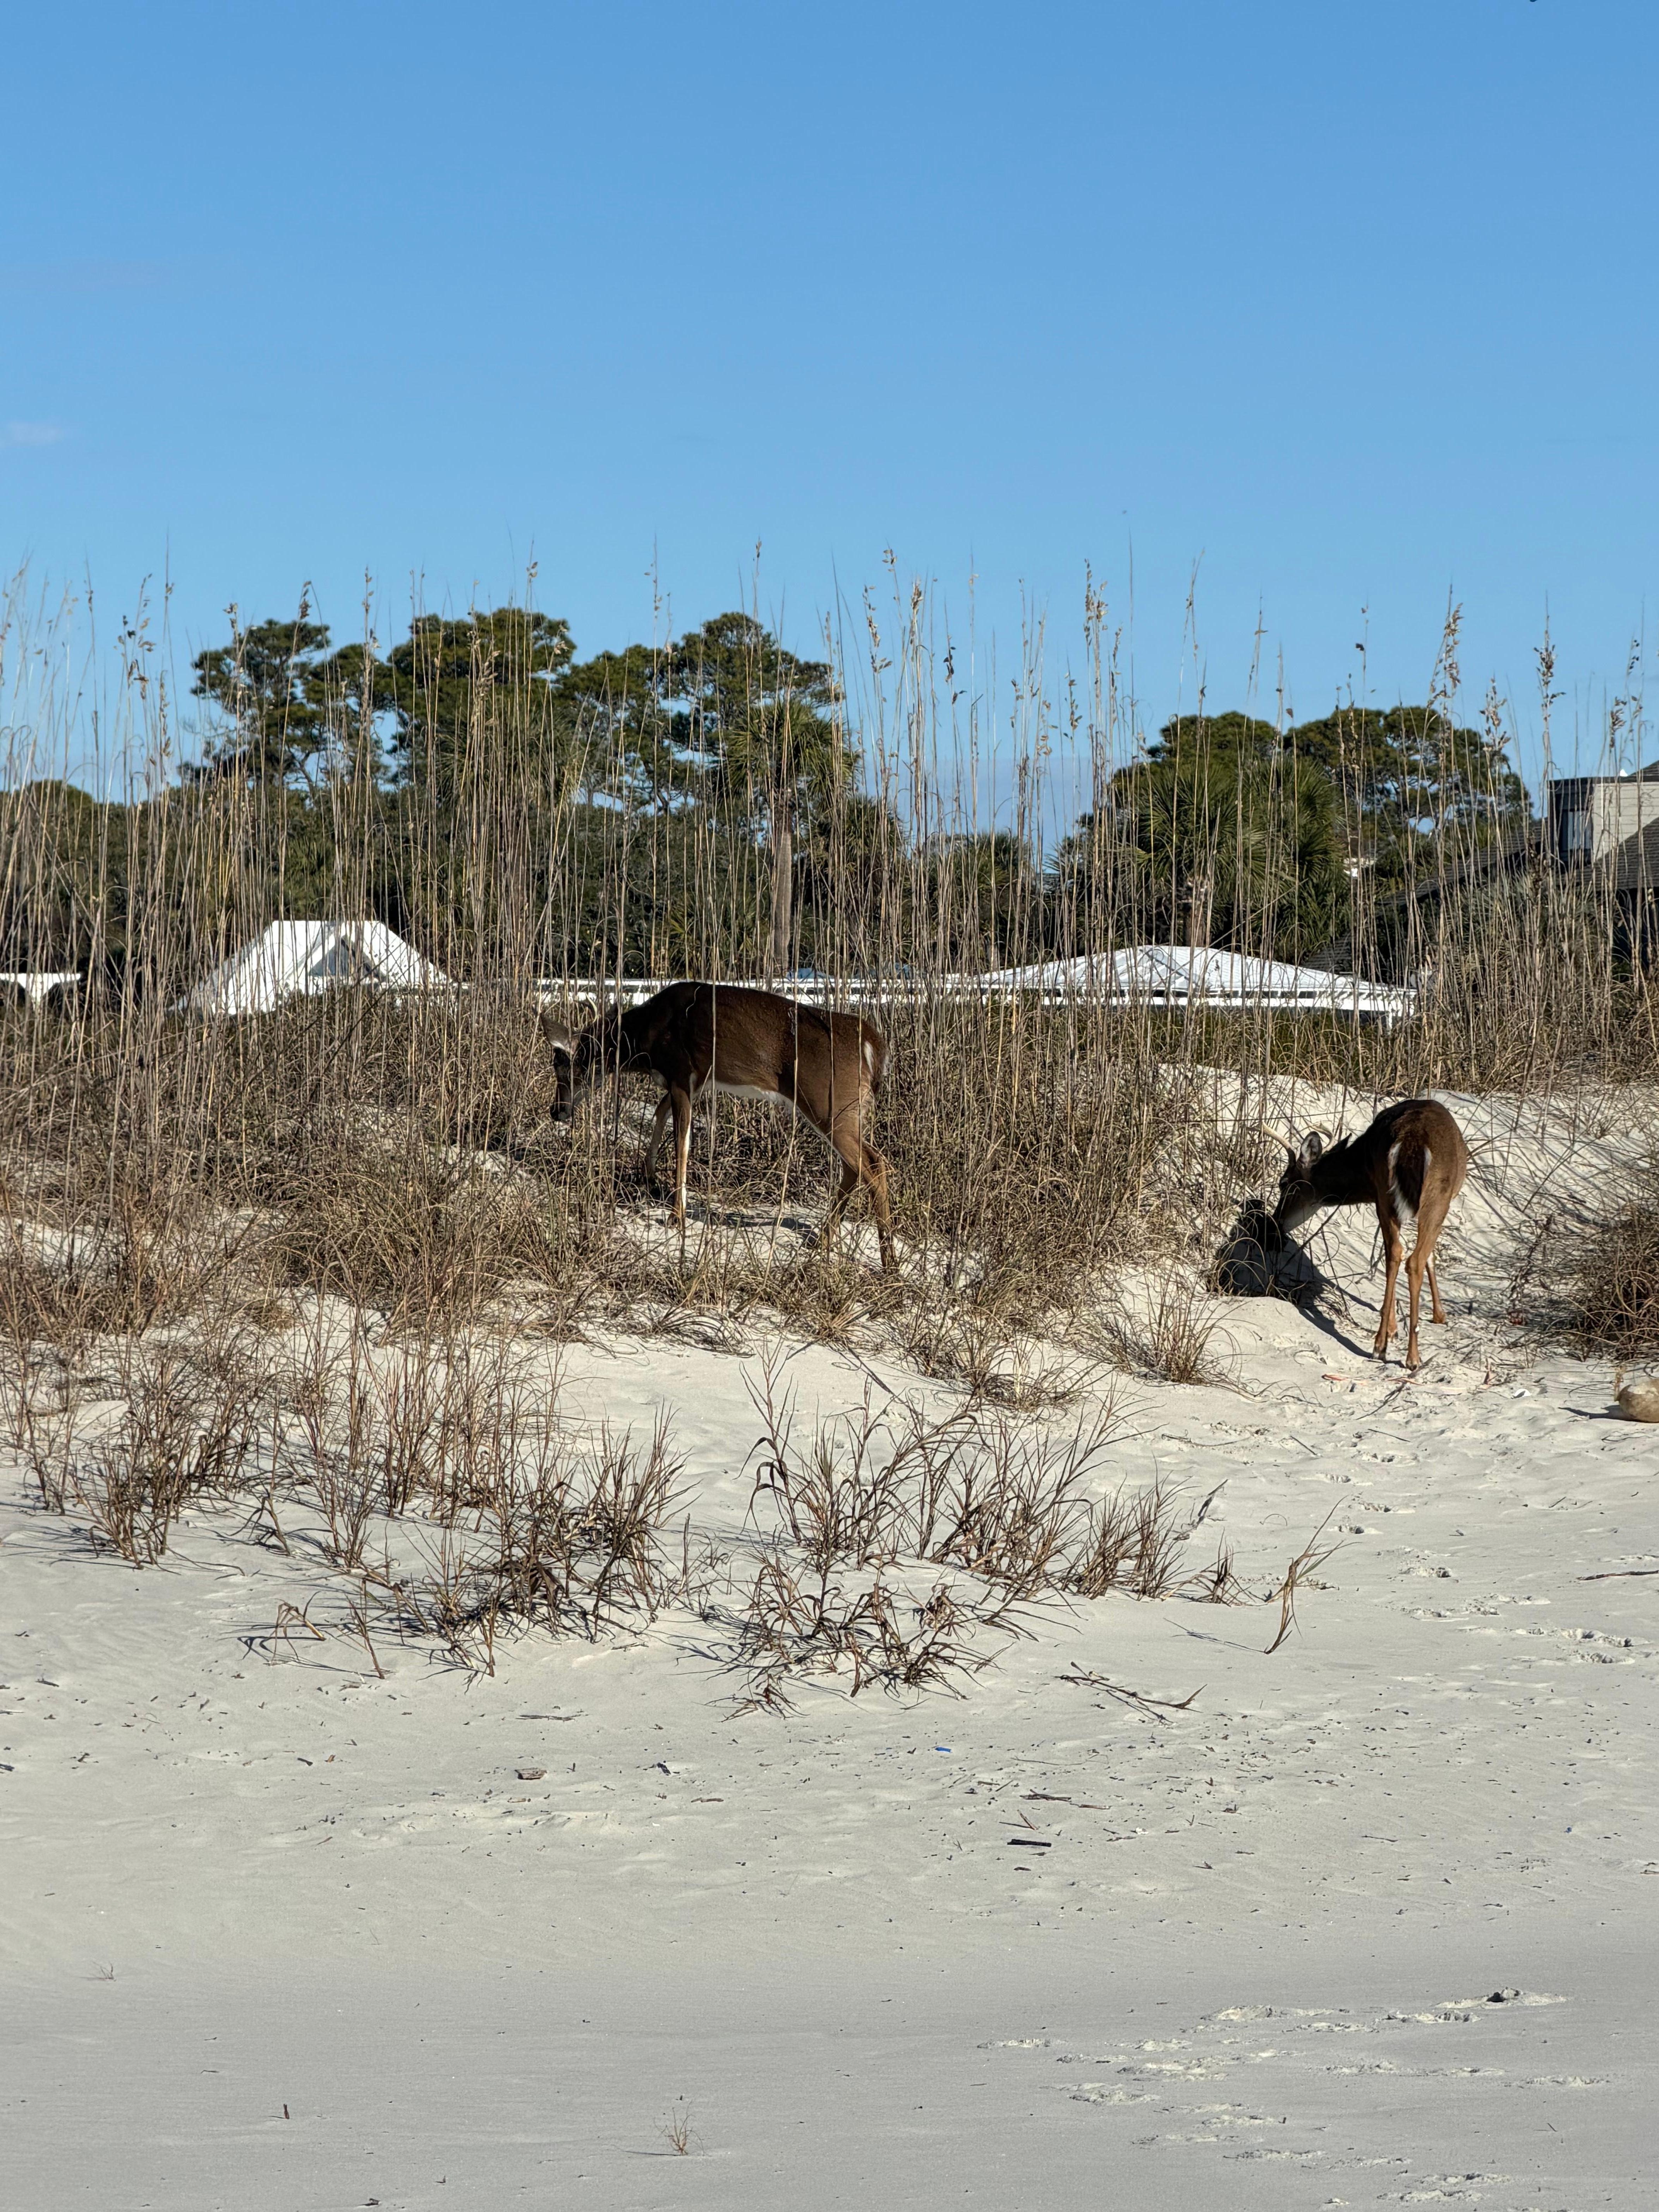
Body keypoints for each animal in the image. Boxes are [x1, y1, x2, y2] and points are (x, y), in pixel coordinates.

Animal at [542, 982, 896, 1273]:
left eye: (565, 1068)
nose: (557, 1111)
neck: (645, 1039)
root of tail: (872, 1043)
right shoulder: (692, 1082)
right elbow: (660, 1113)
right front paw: (650, 1175)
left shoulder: (682, 1072)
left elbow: (682, 1142)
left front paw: (677, 1216)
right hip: (845, 1109)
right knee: (856, 1166)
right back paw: (822, 1240)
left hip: (828, 1102)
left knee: (874, 1165)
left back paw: (888, 1262)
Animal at [1273, 1098, 1471, 1371]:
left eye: (1283, 1183)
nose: (1275, 1220)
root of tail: (1413, 1139)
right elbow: (1431, 1257)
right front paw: (1439, 1316)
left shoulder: (1380, 1195)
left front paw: (1392, 1330)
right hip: (1437, 1196)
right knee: (1414, 1259)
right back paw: (1411, 1357)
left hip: (1387, 1192)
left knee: (1396, 1253)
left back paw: (1382, 1345)